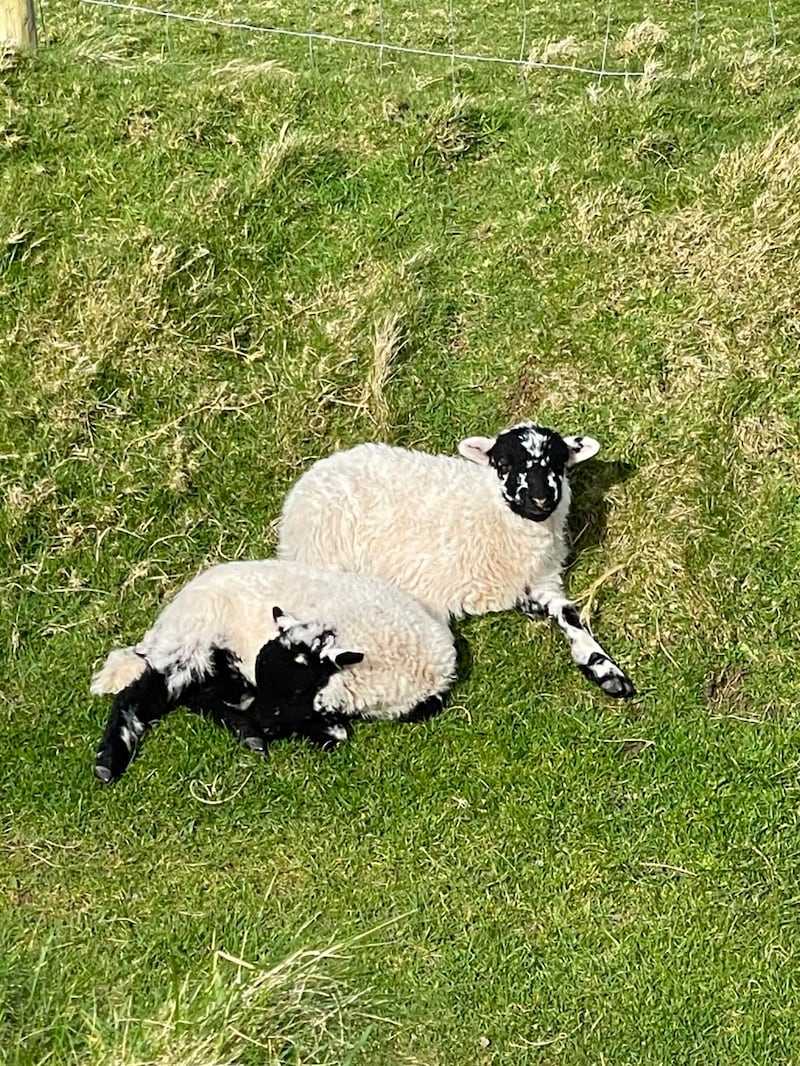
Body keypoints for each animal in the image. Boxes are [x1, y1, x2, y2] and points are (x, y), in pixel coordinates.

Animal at [92, 560, 457, 783]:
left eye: (296, 689)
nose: (263, 722)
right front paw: (328, 731)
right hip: (192, 640)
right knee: (139, 695)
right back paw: (107, 763)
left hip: (216, 664)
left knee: (197, 697)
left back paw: (248, 734)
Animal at [278, 422, 634, 699]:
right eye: (502, 464)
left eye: (558, 464)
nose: (540, 500)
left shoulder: (545, 579)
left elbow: (571, 616)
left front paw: (605, 669)